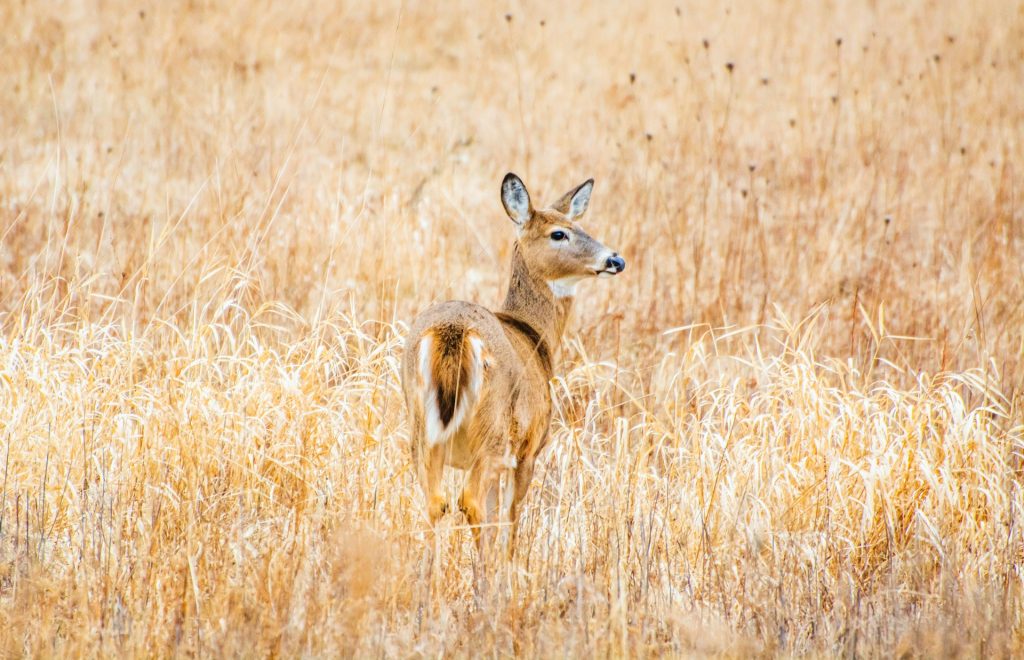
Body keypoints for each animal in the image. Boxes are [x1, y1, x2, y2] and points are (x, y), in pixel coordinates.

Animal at [401, 172, 625, 554]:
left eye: (580, 225)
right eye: (559, 233)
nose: (615, 260)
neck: (535, 334)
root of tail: (452, 333)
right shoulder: (529, 448)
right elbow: (510, 517)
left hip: (422, 432)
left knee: (436, 503)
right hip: (492, 431)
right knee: (470, 502)